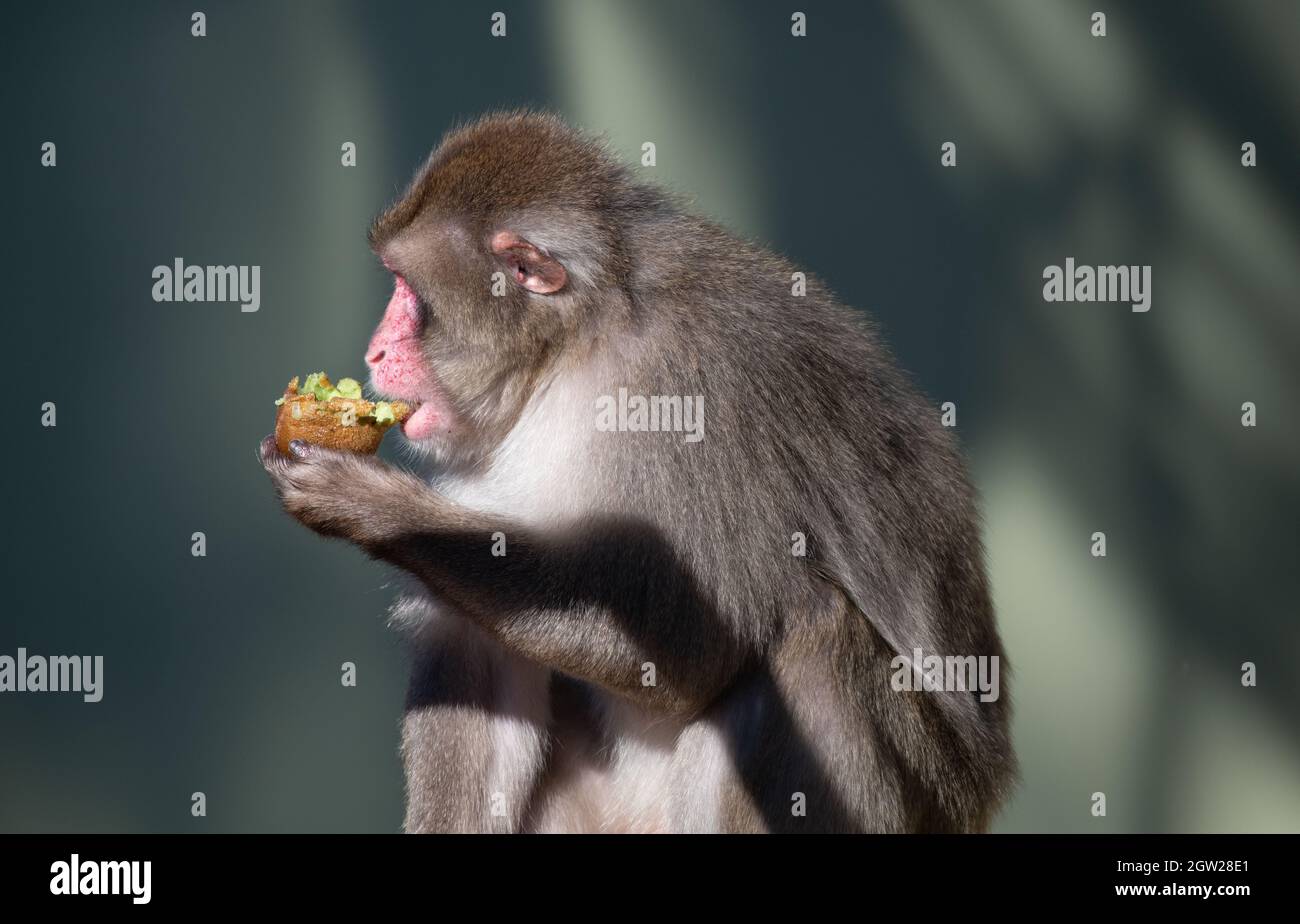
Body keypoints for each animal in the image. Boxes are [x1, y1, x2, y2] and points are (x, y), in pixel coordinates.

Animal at [260, 110, 1016, 833]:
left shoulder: (688, 392)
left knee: (815, 644)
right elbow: (475, 644)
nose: (375, 350)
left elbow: (691, 641)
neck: (573, 349)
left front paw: (371, 505)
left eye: (408, 292)